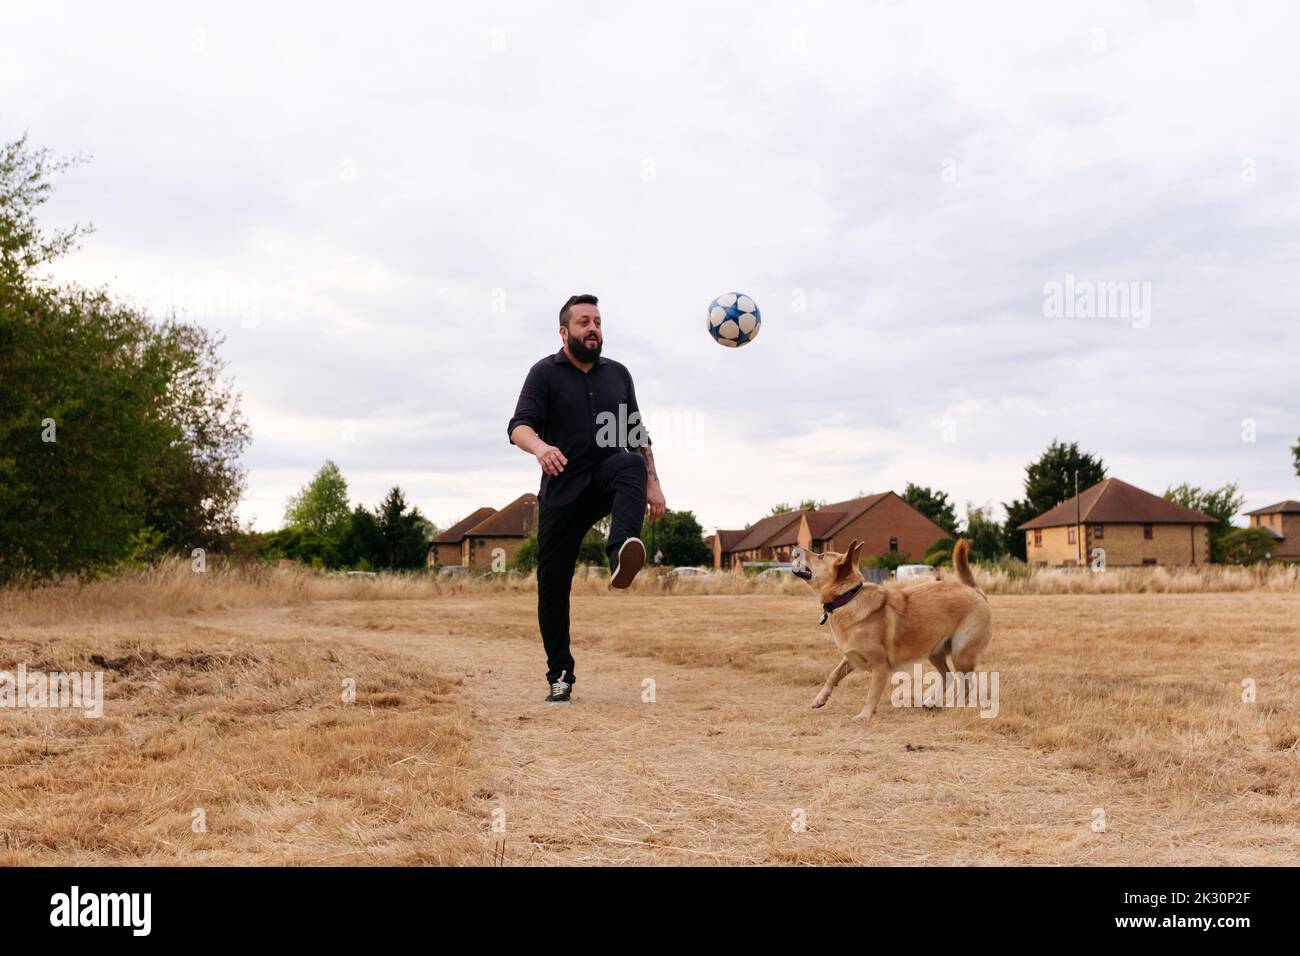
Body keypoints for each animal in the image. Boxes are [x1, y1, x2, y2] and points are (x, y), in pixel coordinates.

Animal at [785, 541, 987, 723]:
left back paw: (955, 706)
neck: (848, 598)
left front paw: (865, 715)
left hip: (961, 655)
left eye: (820, 556)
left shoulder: (880, 666)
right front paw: (820, 698)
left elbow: (872, 693)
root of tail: (973, 589)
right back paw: (932, 702)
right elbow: (833, 674)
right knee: (948, 677)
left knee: (966, 685)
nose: (795, 547)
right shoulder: (851, 657)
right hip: (935, 652)